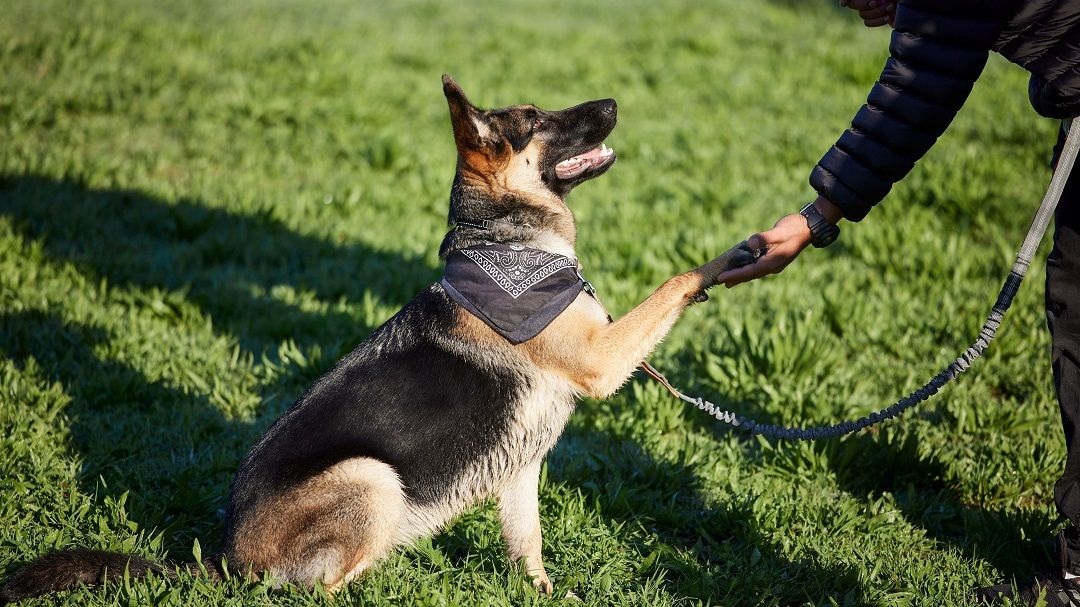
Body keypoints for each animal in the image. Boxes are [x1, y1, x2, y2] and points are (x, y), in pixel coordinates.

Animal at [0, 75, 760, 600]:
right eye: (539, 121)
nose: (611, 100)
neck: (504, 240)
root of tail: (224, 562)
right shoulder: (602, 360)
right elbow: (677, 278)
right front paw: (738, 253)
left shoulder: (519, 467)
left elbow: (527, 545)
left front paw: (544, 594)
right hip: (372, 477)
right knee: (320, 592)